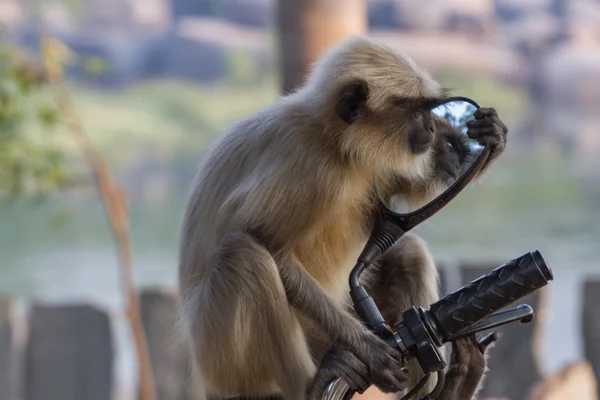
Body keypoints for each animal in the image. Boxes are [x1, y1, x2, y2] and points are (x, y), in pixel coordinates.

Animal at [177, 35, 506, 400]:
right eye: (418, 113)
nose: (433, 127)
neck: (329, 139)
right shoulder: (310, 167)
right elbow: (267, 243)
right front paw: (367, 347)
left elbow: (410, 188)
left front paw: (493, 137)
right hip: (223, 356)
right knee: (245, 254)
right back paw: (311, 384)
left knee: (409, 252)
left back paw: (450, 385)